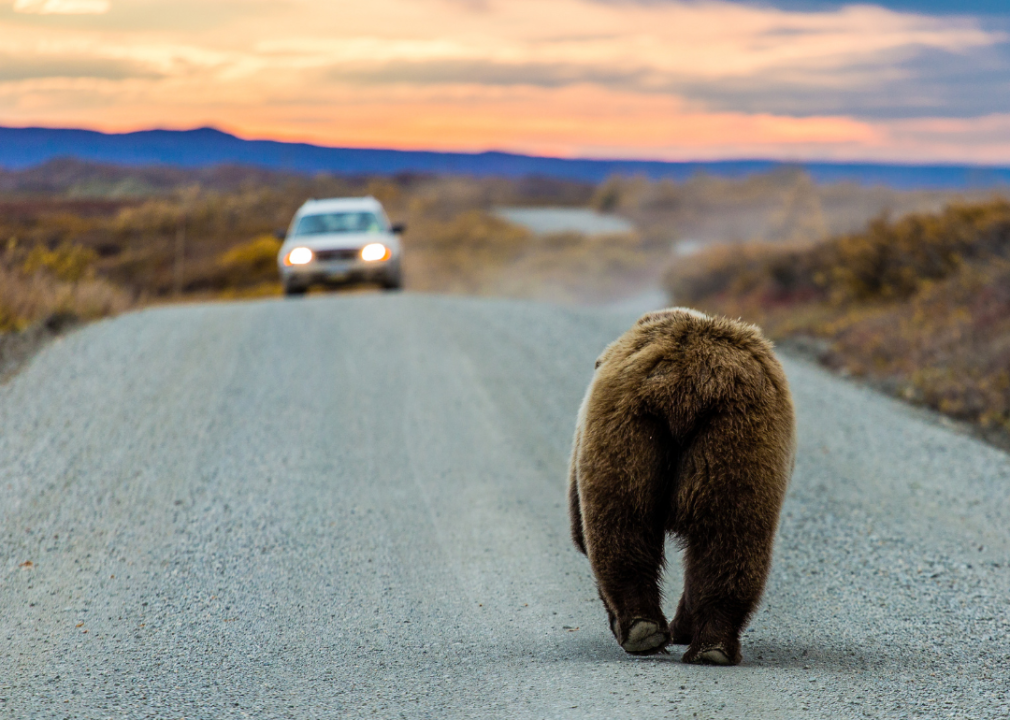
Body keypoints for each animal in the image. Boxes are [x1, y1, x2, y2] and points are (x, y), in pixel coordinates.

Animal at [573, 306, 791, 666]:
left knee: (621, 525)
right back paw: (708, 646)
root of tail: (686, 383)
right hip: (734, 433)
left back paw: (644, 630)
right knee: (730, 533)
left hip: (628, 425)